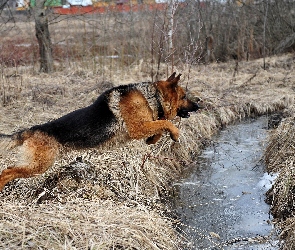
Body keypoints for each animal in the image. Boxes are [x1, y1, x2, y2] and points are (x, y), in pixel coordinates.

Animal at [0, 72, 200, 189]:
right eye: (184, 96)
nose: (199, 106)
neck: (152, 97)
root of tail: (32, 129)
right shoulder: (138, 128)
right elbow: (165, 122)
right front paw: (175, 133)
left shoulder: (144, 126)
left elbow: (159, 124)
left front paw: (152, 140)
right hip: (39, 165)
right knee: (6, 172)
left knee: (8, 170)